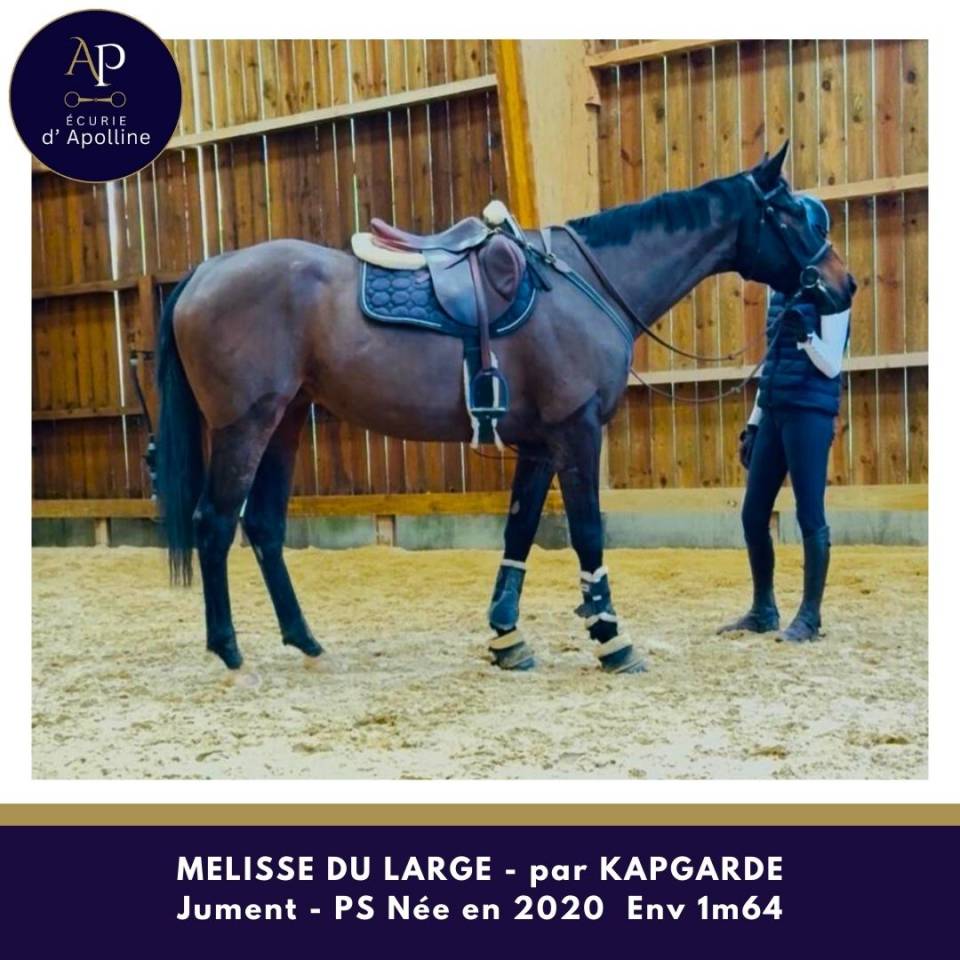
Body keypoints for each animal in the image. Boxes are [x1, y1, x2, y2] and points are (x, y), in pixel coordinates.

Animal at [155, 140, 855, 674]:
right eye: (790, 214)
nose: (842, 284)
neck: (588, 284)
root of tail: (205, 272)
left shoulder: (541, 444)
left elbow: (519, 532)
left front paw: (507, 637)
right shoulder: (576, 434)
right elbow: (588, 534)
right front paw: (611, 638)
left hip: (287, 422)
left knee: (263, 527)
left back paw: (304, 639)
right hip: (246, 425)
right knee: (214, 523)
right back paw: (228, 649)